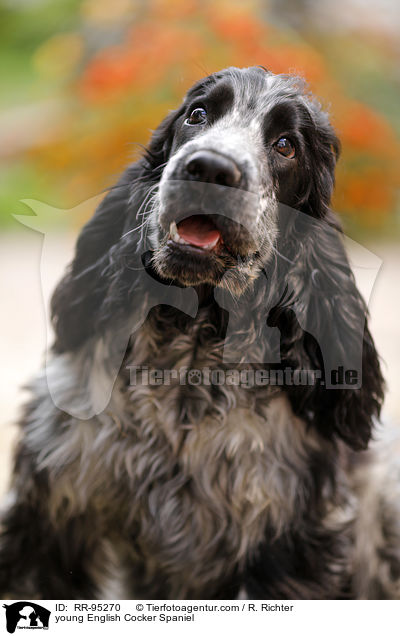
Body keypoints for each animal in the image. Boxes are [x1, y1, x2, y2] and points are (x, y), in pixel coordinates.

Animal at [0, 66, 400, 600]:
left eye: (286, 145)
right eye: (198, 114)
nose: (210, 168)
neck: (189, 360)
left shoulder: (288, 551)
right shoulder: (45, 522)